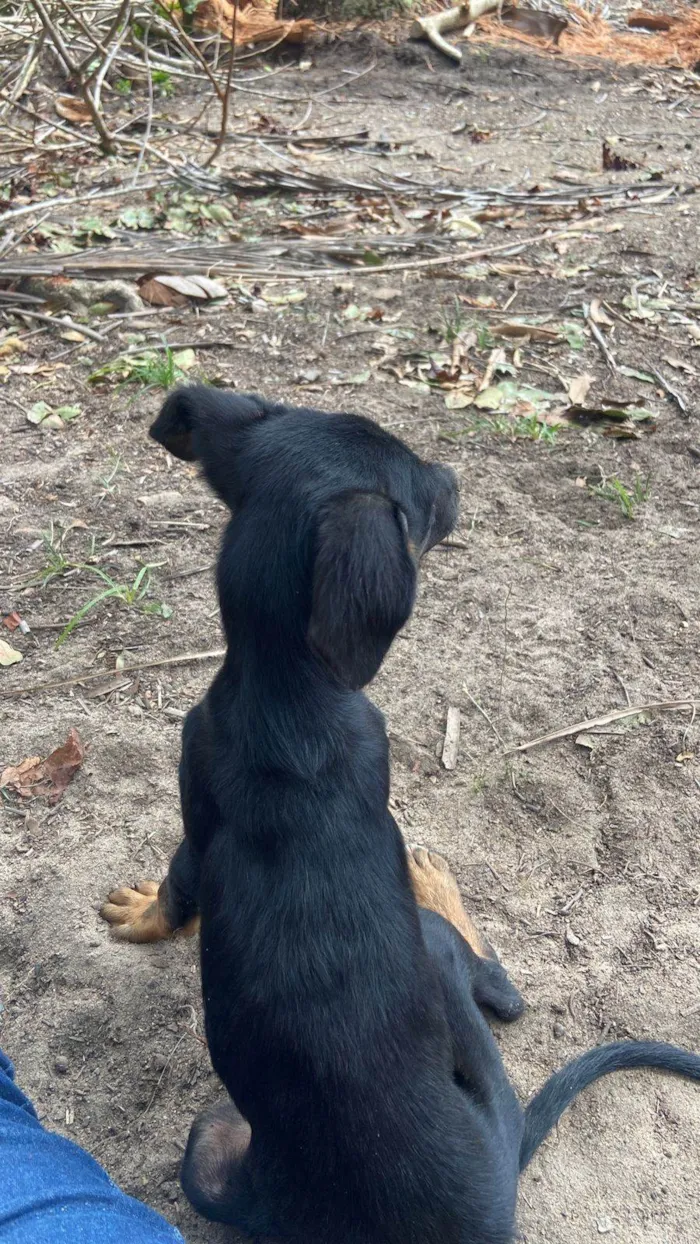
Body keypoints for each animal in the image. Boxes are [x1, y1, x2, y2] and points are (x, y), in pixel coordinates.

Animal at [102, 388, 700, 1244]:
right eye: (420, 491)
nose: (456, 475)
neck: (287, 690)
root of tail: (495, 1188)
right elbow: (178, 891)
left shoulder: (197, 818)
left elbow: (179, 886)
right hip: (441, 965)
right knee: (501, 987)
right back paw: (433, 882)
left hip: (208, 1149)